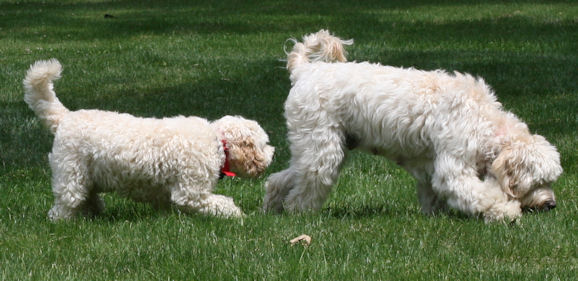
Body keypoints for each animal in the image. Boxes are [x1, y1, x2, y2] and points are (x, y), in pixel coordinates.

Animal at [24, 59, 272, 220]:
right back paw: (62, 222)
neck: (217, 142)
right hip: (71, 175)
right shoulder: (191, 192)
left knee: (88, 198)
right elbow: (218, 203)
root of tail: (65, 117)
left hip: (87, 176)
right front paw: (237, 215)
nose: (273, 153)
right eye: (264, 143)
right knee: (66, 203)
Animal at [264, 29, 560, 221]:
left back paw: (272, 208)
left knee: (280, 179)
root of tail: (305, 70)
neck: (483, 121)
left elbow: (433, 195)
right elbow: (479, 193)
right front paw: (506, 211)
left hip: (314, 148)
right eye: (538, 182)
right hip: (322, 152)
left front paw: (436, 216)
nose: (552, 204)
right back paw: (299, 214)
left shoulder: (431, 167)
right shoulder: (453, 167)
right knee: (304, 188)